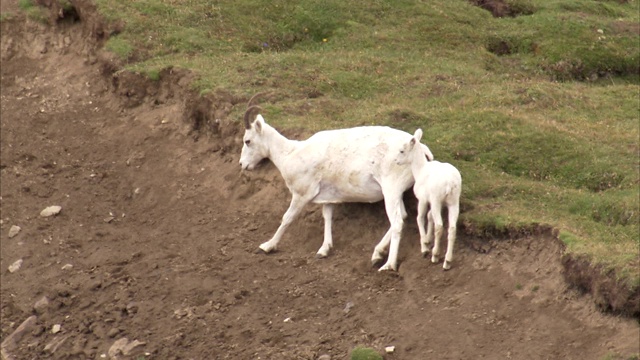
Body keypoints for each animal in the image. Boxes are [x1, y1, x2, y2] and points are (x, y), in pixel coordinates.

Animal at [240, 104, 436, 270]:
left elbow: (287, 218)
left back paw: (388, 265)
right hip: (395, 193)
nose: (243, 164)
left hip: (391, 190)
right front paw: (323, 250)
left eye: (247, 141)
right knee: (402, 215)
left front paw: (267, 246)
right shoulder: (328, 197)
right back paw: (377, 254)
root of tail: (421, 149)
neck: (291, 153)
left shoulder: (301, 195)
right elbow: (327, 216)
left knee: (397, 222)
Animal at [392, 129, 462, 270]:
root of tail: (450, 183)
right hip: (453, 202)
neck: (420, 170)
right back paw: (447, 261)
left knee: (439, 226)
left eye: (402, 150)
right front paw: (429, 240)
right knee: (452, 229)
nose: (396, 161)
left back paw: (435, 255)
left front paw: (424, 246)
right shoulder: (440, 203)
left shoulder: (423, 200)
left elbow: (420, 218)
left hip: (436, 200)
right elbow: (429, 217)